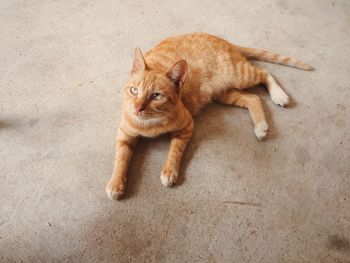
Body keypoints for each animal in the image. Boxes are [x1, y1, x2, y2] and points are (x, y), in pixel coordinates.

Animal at [105, 32, 314, 200]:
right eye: (134, 90)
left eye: (156, 96)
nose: (137, 108)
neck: (148, 123)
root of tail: (223, 40)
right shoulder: (125, 132)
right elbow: (121, 157)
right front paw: (116, 182)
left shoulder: (187, 126)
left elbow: (175, 150)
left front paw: (170, 170)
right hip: (225, 93)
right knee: (253, 98)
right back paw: (261, 126)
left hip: (240, 75)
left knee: (265, 73)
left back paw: (279, 95)